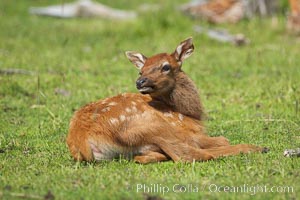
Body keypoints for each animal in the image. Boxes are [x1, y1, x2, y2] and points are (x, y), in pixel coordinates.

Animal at [66, 38, 268, 164]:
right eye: (141, 70)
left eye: (165, 67)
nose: (140, 81)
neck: (188, 114)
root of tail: (82, 141)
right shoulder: (186, 131)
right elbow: (222, 139)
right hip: (153, 126)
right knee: (190, 155)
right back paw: (258, 148)